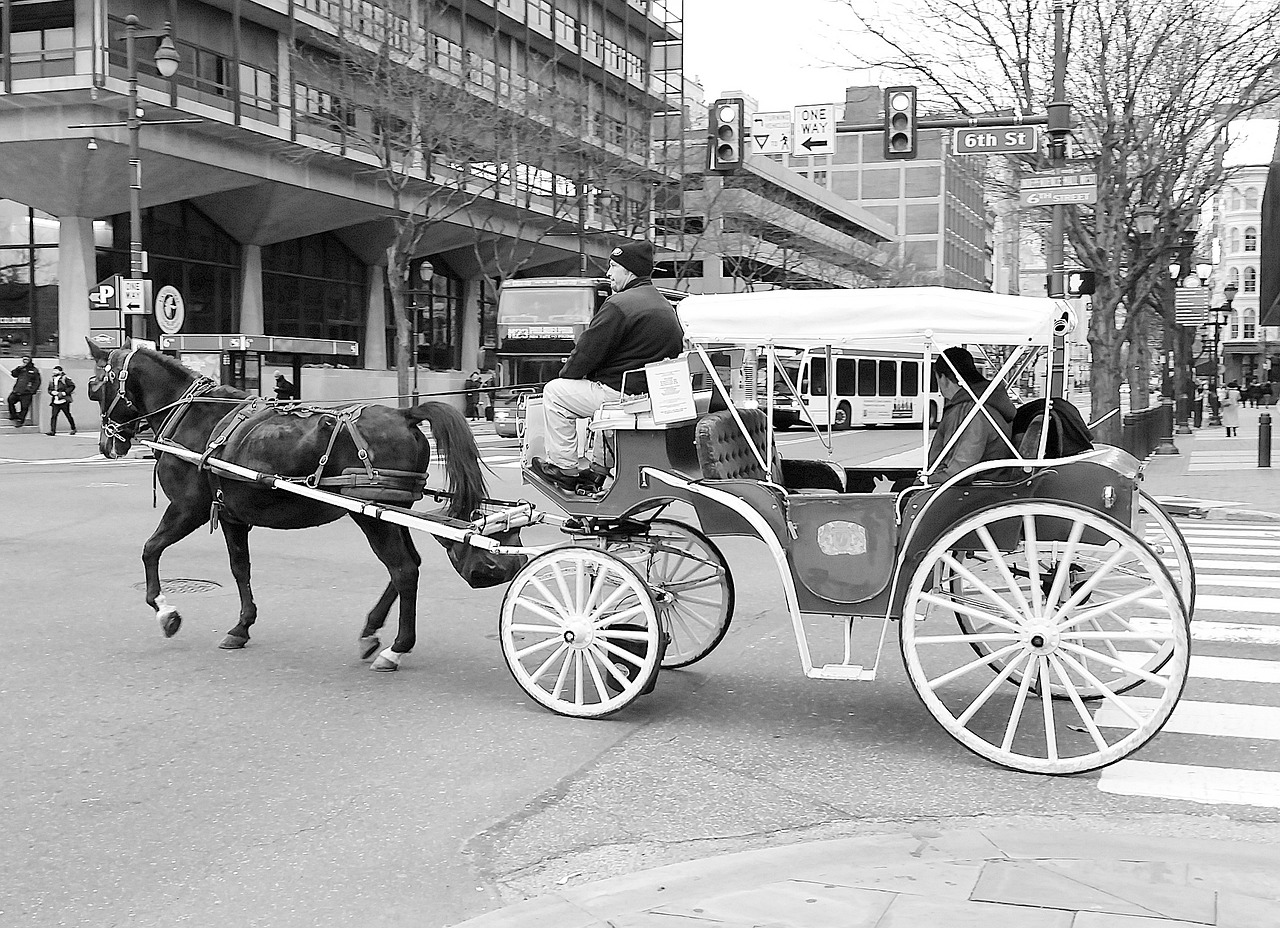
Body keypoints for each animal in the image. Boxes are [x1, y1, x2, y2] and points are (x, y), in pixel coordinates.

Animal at [87, 337, 522, 670]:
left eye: (95, 385)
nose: (108, 444)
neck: (192, 414)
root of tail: (405, 412)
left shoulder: (187, 509)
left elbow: (150, 550)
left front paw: (166, 612)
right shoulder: (231, 515)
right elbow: (240, 569)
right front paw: (241, 627)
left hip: (372, 515)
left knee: (403, 571)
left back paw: (396, 649)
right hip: (389, 511)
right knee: (407, 566)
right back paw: (371, 632)